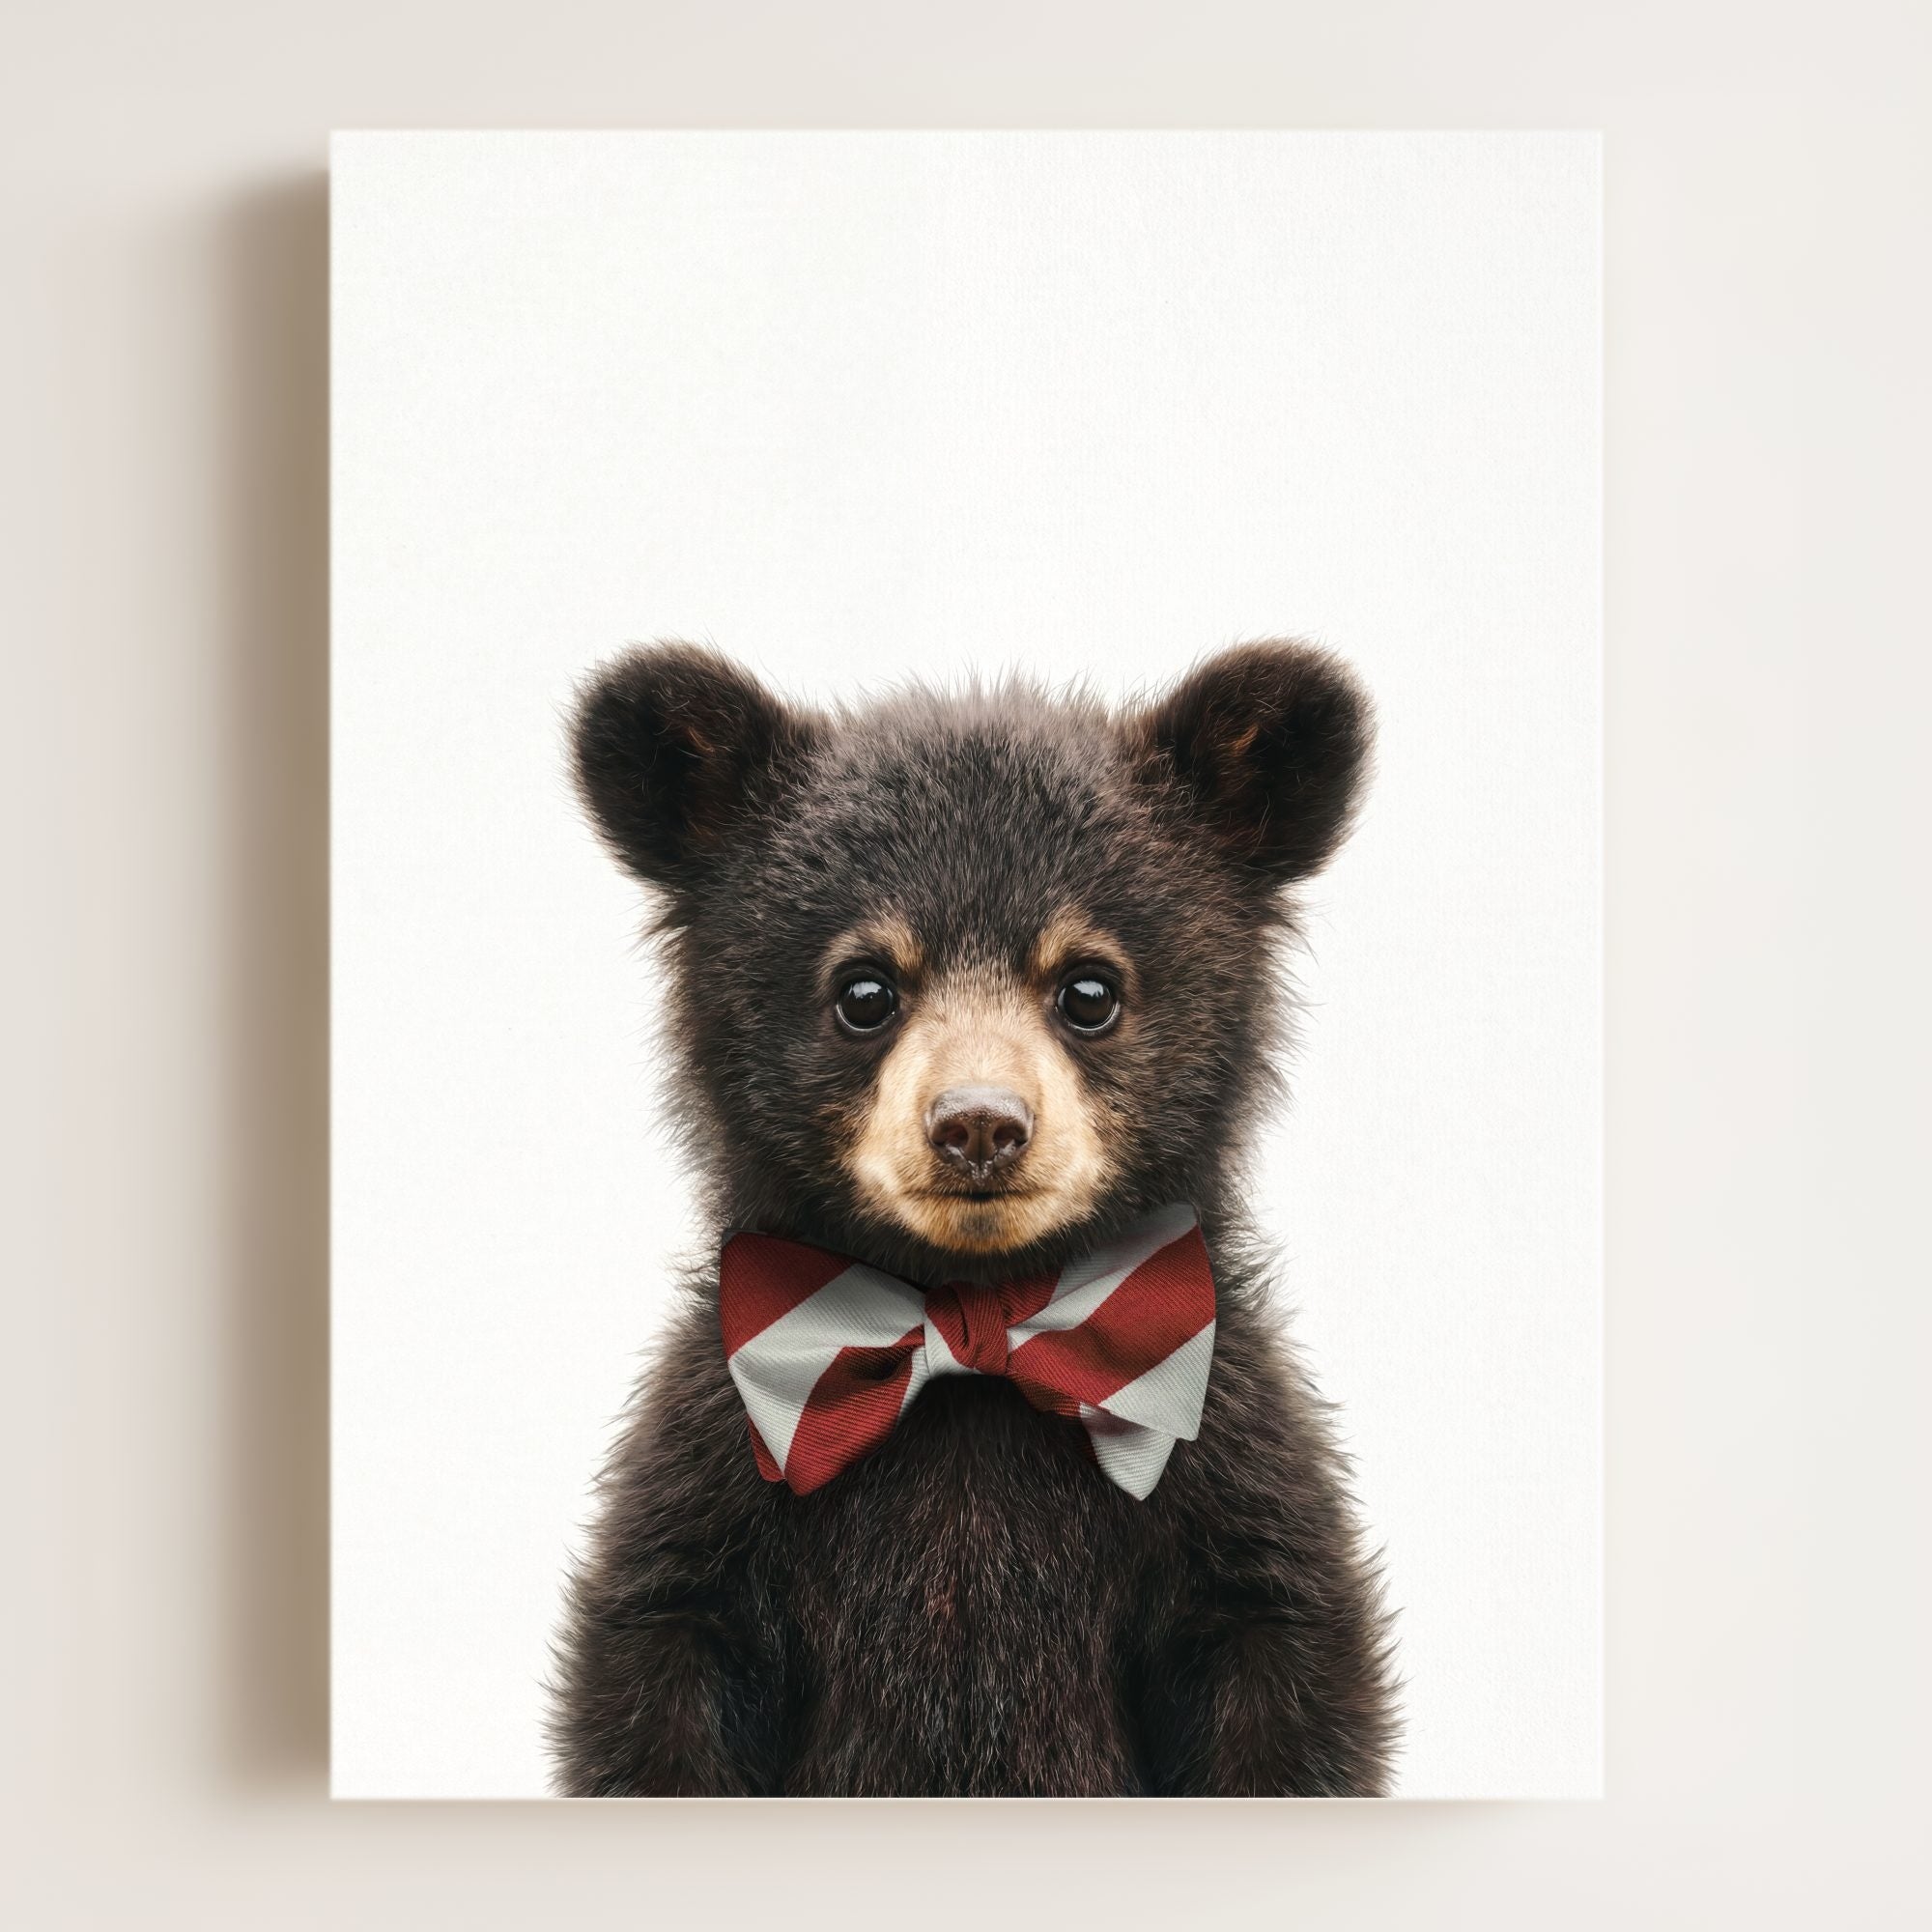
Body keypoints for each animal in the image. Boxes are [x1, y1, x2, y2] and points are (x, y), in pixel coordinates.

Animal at [549, 638, 1398, 1796]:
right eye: (864, 989)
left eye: (1089, 988)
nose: (979, 1125)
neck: (974, 1319)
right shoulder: (713, 1481)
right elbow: (659, 1675)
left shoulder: (1230, 1477)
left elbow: (1282, 1676)